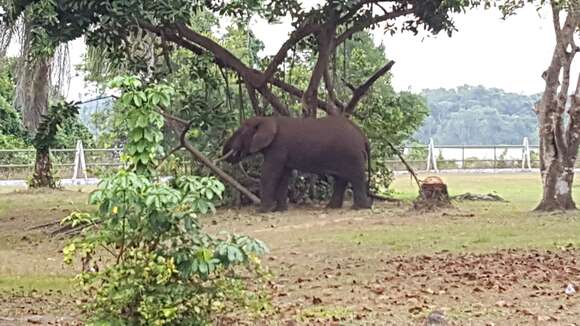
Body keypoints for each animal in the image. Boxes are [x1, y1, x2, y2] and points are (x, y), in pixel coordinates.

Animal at [220, 115, 374, 214]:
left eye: (240, 132)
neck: (267, 119)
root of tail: (364, 137)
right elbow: (283, 176)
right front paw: (279, 211)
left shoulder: (278, 148)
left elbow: (270, 174)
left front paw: (262, 211)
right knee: (341, 179)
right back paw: (332, 207)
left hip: (352, 154)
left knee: (356, 177)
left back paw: (359, 208)